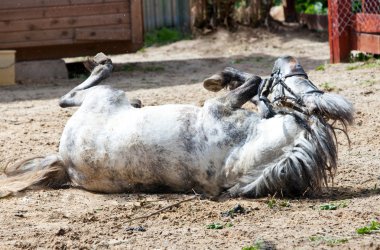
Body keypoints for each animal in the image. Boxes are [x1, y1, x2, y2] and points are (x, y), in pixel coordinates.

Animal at [0, 53, 354, 198]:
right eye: (305, 85)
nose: (288, 60)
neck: (241, 154)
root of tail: (65, 162)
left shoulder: (220, 108)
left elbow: (254, 82)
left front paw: (222, 79)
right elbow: (253, 83)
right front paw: (221, 78)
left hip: (105, 97)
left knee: (71, 95)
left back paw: (102, 64)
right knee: (70, 96)